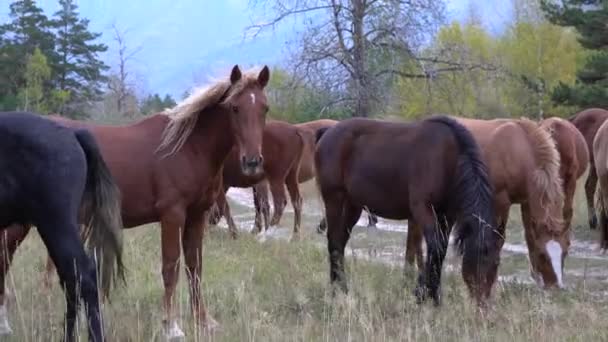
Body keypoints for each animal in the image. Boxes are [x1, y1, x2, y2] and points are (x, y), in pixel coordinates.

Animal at [314, 116, 498, 306]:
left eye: (495, 266)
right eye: (481, 260)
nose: (483, 304)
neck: (447, 158)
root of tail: (327, 132)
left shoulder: (447, 216)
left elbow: (440, 250)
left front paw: (430, 295)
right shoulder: (422, 209)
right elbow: (435, 247)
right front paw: (426, 294)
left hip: (353, 205)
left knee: (341, 241)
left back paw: (341, 286)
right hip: (334, 198)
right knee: (334, 241)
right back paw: (337, 289)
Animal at [406, 117, 568, 288]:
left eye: (565, 252)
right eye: (543, 255)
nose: (556, 287)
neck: (518, 149)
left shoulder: (527, 202)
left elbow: (530, 236)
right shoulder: (500, 201)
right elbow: (498, 239)